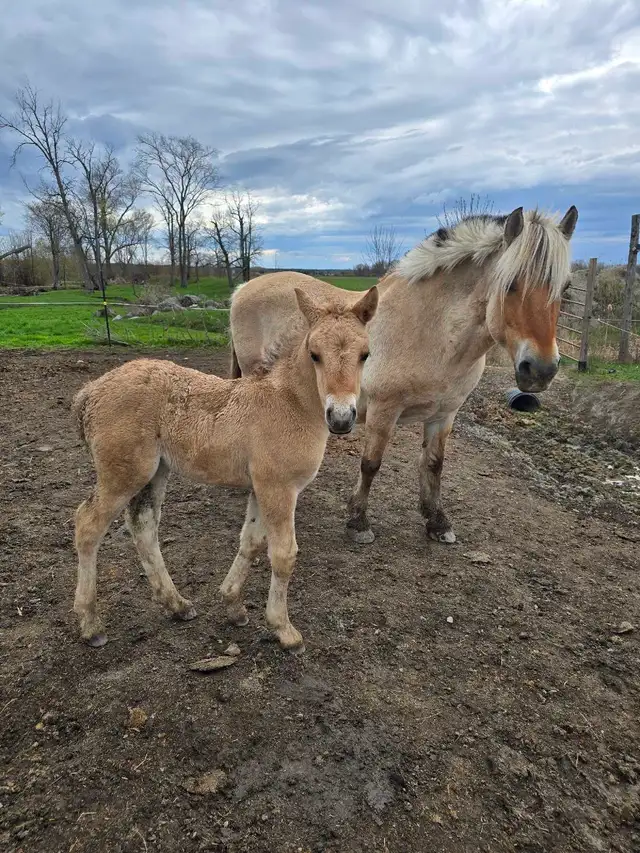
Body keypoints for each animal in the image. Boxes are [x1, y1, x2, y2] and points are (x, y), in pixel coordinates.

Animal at [71, 286, 378, 653]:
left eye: (365, 354)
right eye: (314, 354)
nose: (342, 418)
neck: (290, 403)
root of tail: (91, 391)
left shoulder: (262, 487)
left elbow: (251, 542)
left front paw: (233, 605)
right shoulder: (279, 488)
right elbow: (283, 554)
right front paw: (284, 630)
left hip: (155, 472)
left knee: (143, 526)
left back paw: (177, 605)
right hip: (123, 474)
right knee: (88, 524)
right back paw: (90, 624)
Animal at [229, 205, 578, 546]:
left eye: (565, 288)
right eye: (511, 284)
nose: (541, 369)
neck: (431, 331)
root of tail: (244, 288)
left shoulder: (444, 414)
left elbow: (434, 465)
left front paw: (437, 522)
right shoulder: (383, 411)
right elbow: (371, 464)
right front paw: (358, 522)